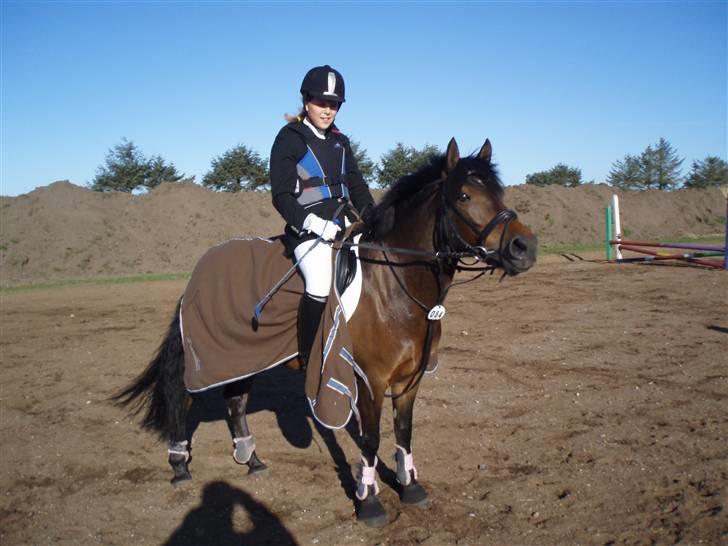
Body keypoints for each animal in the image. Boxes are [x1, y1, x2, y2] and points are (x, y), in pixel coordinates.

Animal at [115, 137, 537, 527]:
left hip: (242, 356)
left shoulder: (410, 380)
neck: (393, 283)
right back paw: (180, 466)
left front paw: (411, 487)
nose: (525, 247)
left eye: (499, 192)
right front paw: (369, 502)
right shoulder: (369, 380)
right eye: (464, 195)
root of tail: (203, 265)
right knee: (181, 398)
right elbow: (371, 439)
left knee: (235, 402)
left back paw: (253, 461)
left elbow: (404, 432)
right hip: (207, 356)